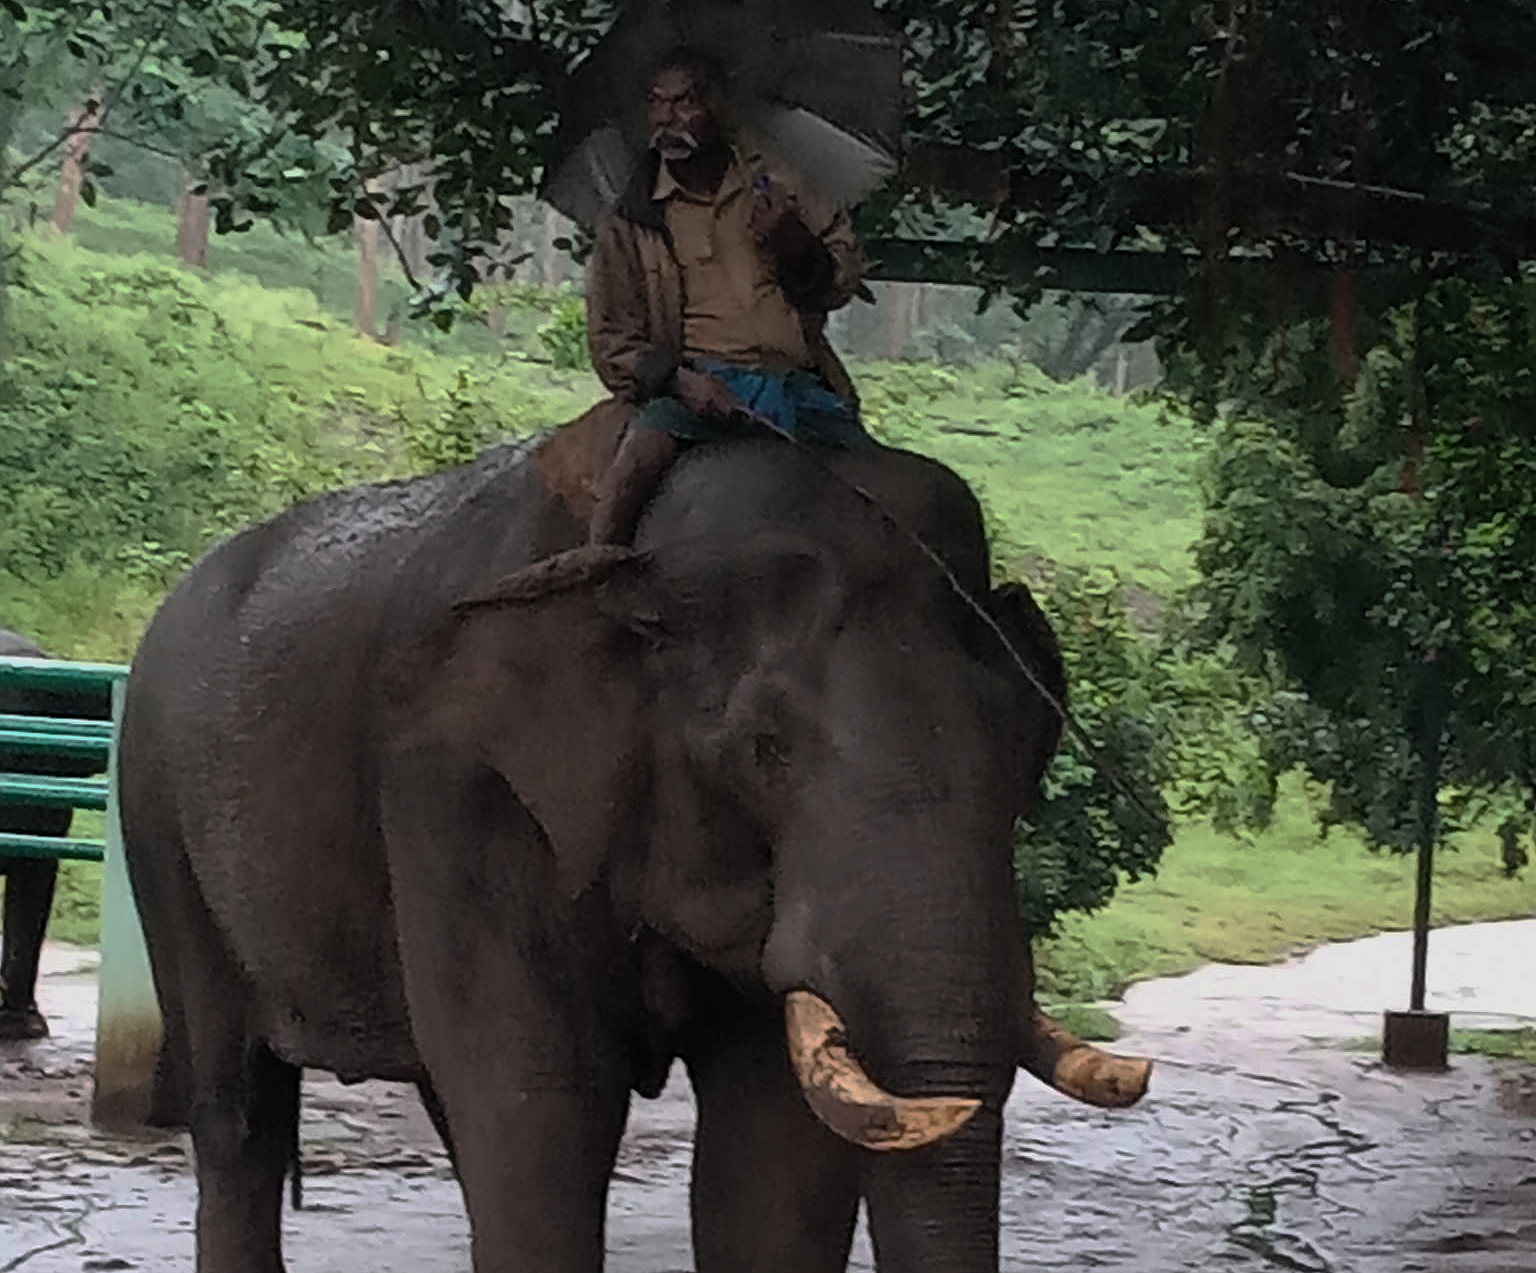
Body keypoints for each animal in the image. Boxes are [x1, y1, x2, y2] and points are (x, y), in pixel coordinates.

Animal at [118, 413, 1152, 1273]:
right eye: (763, 747)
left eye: (1029, 740)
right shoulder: (459, 793)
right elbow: (542, 1105)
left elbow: (771, 1154)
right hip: (158, 815)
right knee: (238, 1113)